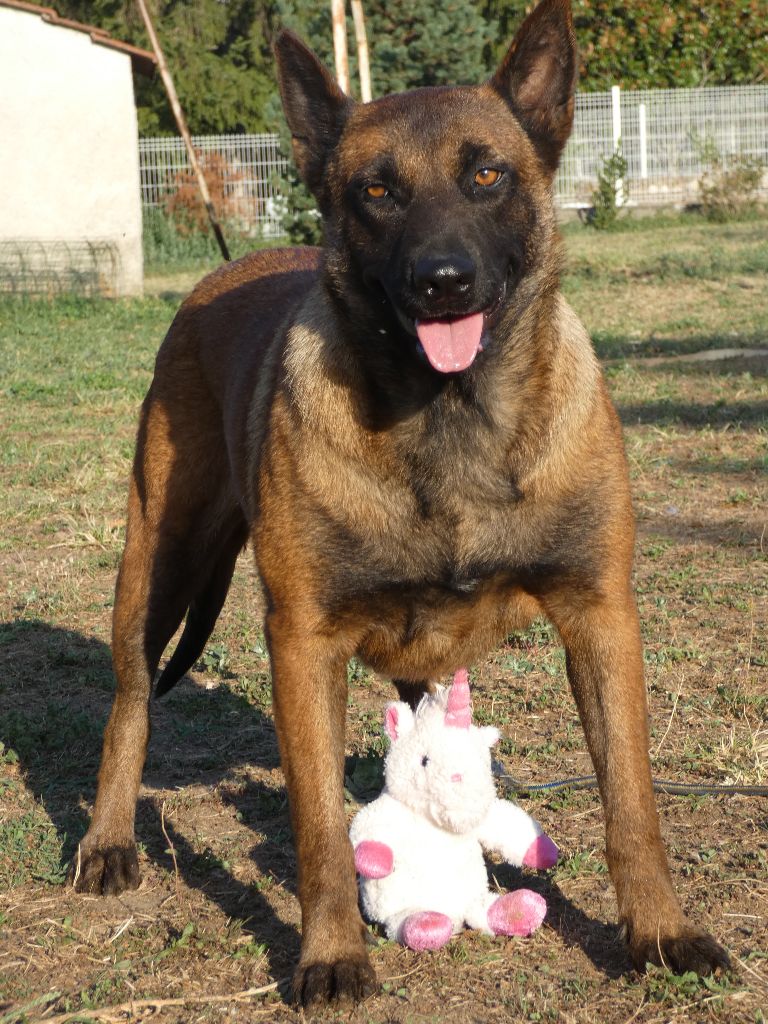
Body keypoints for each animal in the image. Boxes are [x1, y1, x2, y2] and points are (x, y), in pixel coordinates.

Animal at [75, 0, 729, 1007]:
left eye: (487, 174)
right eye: (377, 191)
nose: (443, 280)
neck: (450, 419)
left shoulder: (600, 616)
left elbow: (632, 800)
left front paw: (660, 932)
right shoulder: (303, 643)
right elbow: (316, 828)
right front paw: (330, 955)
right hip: (157, 566)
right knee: (131, 703)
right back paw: (109, 838)